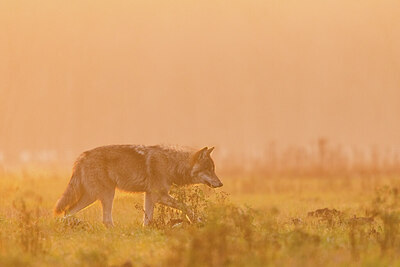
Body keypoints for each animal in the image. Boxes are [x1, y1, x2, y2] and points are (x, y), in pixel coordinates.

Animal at [54, 146, 222, 227]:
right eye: (209, 169)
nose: (220, 183)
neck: (172, 164)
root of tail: (82, 156)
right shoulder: (159, 196)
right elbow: (186, 206)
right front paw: (198, 221)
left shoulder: (150, 196)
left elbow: (147, 219)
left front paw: (146, 231)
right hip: (105, 195)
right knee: (105, 220)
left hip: (93, 196)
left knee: (67, 212)